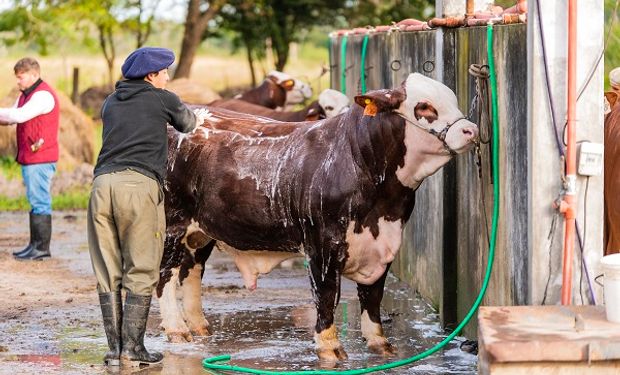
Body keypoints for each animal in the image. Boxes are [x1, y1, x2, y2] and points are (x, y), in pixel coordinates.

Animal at [157, 72, 478, 362]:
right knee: (165, 277)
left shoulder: (383, 247)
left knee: (190, 272)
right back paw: (176, 330)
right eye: (424, 106)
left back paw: (199, 326)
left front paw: (380, 343)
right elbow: (326, 296)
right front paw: (329, 347)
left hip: (202, 232)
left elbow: (373, 297)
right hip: (172, 226)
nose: (471, 130)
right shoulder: (322, 247)